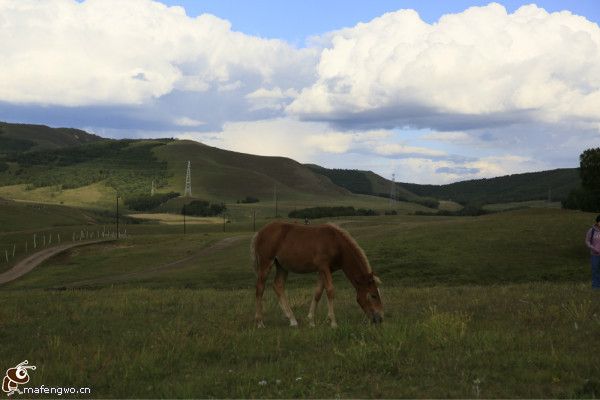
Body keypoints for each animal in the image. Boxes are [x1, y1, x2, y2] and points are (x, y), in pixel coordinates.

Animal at [250, 220, 382, 326]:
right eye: (373, 295)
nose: (380, 319)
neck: (335, 243)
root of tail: (259, 233)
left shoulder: (324, 270)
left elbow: (318, 292)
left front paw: (311, 321)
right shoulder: (324, 267)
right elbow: (330, 291)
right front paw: (333, 322)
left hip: (282, 266)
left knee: (278, 286)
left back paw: (292, 319)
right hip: (266, 263)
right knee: (260, 288)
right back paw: (259, 322)